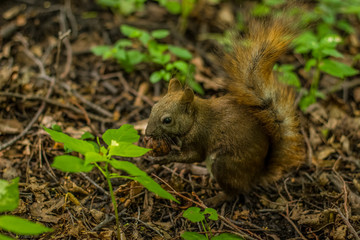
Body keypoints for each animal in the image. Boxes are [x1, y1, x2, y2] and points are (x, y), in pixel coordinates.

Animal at [143, 17, 304, 205]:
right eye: (153, 107)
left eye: (167, 120)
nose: (147, 133)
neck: (195, 119)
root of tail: (257, 174)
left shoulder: (199, 138)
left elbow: (193, 155)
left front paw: (163, 158)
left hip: (224, 164)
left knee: (233, 191)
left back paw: (214, 199)